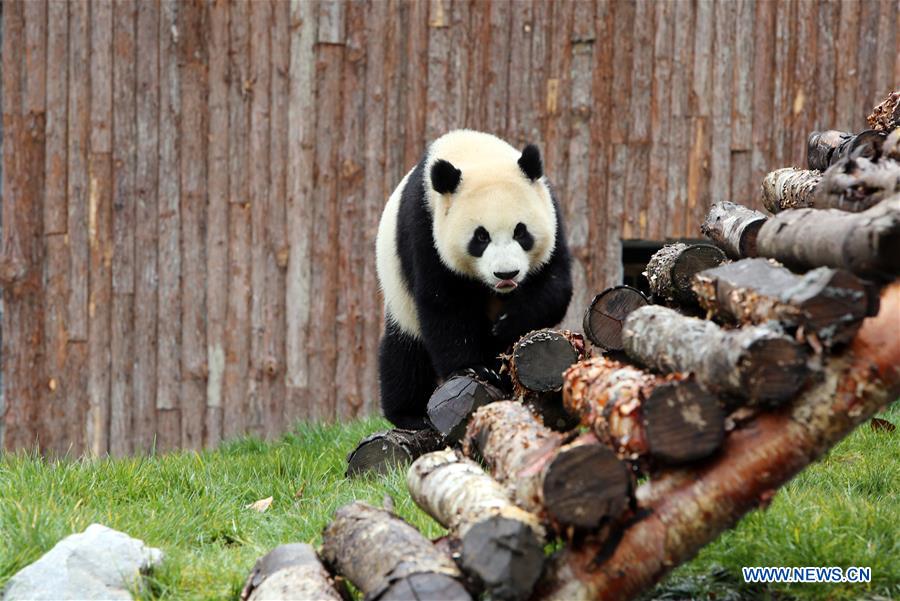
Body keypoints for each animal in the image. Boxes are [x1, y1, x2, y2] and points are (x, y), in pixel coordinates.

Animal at [375, 129, 573, 429]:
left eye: (520, 231)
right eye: (481, 236)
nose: (506, 274)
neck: (475, 154)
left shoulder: (551, 214)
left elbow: (554, 285)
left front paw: (507, 325)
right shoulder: (424, 228)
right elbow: (444, 303)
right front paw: (473, 368)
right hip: (398, 293)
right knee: (405, 351)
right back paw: (409, 413)